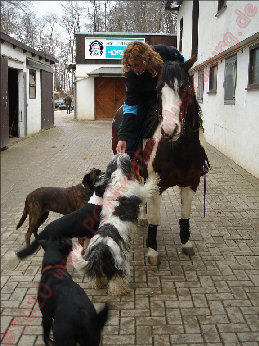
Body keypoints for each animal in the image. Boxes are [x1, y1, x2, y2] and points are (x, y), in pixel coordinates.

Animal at [72, 153, 159, 296]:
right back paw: (122, 290)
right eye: (126, 158)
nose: (124, 152)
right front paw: (155, 178)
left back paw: (98, 284)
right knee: (115, 281)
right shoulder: (139, 192)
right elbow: (147, 188)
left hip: (96, 268)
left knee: (96, 277)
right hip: (119, 264)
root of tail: (99, 250)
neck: (119, 174)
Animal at [111, 56, 209, 264]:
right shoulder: (156, 184)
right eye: (158, 90)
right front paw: (152, 251)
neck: (180, 150)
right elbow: (155, 219)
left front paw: (186, 243)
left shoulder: (191, 183)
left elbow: (185, 215)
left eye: (185, 87)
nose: (170, 130)